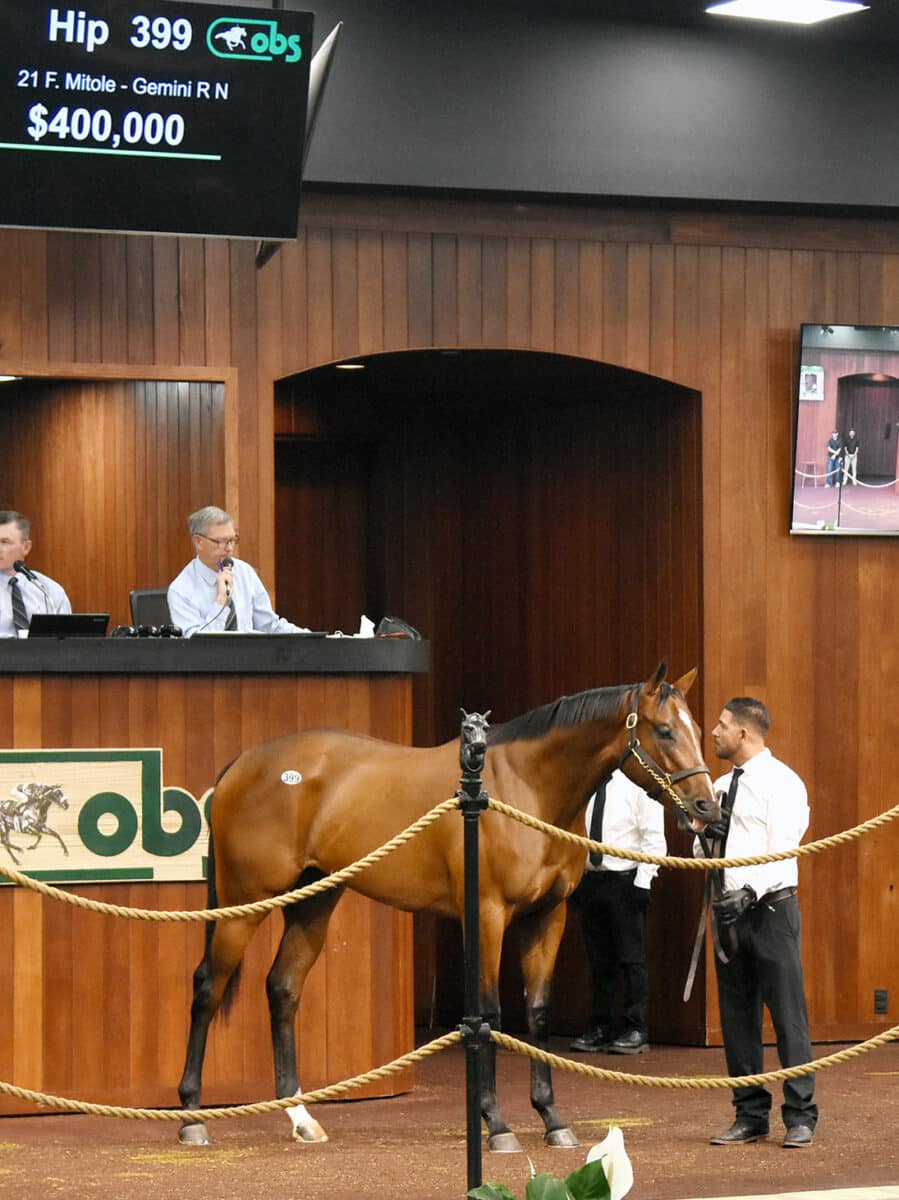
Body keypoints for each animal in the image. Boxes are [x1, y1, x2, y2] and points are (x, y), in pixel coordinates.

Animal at [180, 662, 715, 1147]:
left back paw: (301, 1117)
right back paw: (191, 1118)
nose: (707, 807)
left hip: (314, 900)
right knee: (208, 986)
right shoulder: (488, 915)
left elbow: (538, 1012)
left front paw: (552, 1119)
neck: (523, 788)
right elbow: (489, 1014)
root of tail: (243, 764)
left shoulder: (548, 917)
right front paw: (496, 1124)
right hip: (244, 903)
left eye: (696, 729)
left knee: (283, 988)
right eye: (664, 730)